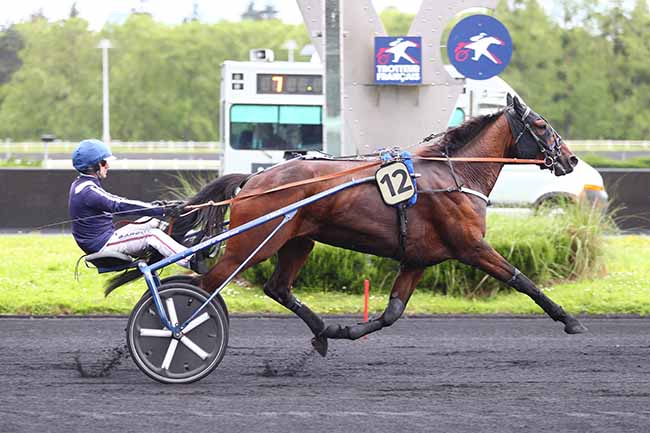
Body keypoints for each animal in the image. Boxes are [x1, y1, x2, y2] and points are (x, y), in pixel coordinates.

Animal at [176, 96, 584, 356]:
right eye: (541, 124)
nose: (571, 159)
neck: (455, 173)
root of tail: (254, 179)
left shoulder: (418, 259)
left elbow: (392, 313)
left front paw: (347, 330)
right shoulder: (471, 247)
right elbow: (522, 280)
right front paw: (569, 319)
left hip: (297, 241)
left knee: (277, 288)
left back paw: (323, 332)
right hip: (252, 243)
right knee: (203, 288)